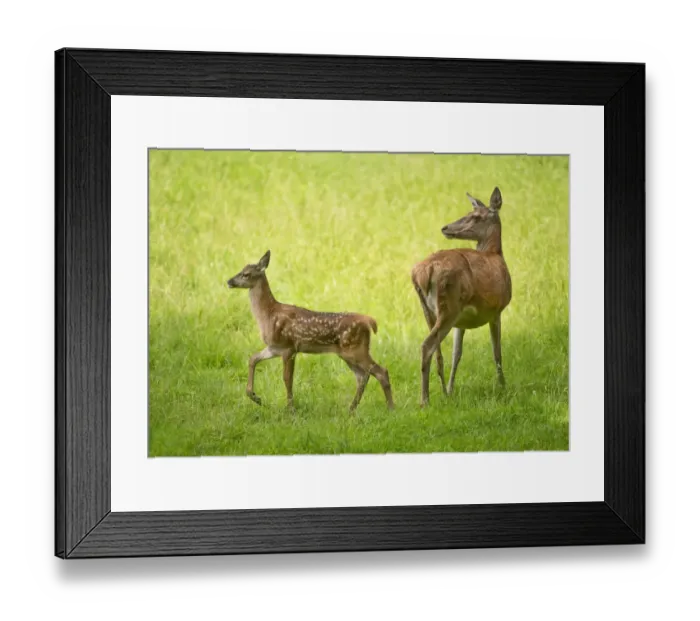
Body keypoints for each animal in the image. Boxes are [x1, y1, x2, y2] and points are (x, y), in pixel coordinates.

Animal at [227, 250, 394, 412]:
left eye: (246, 274)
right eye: (241, 270)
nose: (229, 281)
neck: (268, 314)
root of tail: (369, 321)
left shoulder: (289, 347)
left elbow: (287, 379)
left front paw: (290, 409)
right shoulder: (274, 347)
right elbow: (253, 359)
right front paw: (255, 397)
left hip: (355, 349)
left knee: (381, 372)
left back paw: (391, 408)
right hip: (348, 353)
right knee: (362, 376)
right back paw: (351, 409)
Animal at [411, 186, 512, 406]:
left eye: (475, 216)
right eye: (470, 213)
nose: (445, 228)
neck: (496, 255)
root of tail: (422, 272)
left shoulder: (462, 322)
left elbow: (457, 354)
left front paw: (451, 389)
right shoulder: (496, 310)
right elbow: (497, 352)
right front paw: (503, 386)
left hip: (429, 309)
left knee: (437, 352)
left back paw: (441, 392)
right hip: (449, 306)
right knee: (427, 346)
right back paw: (425, 400)